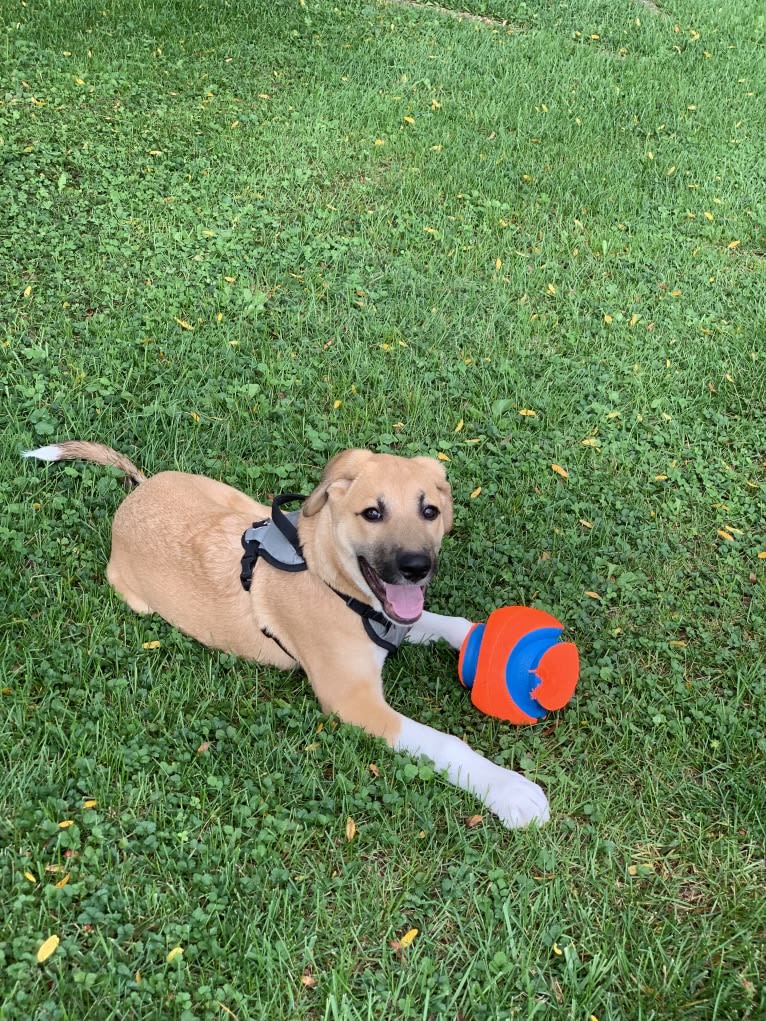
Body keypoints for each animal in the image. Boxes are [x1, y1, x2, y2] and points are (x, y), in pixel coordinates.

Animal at [25, 441, 551, 829]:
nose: (416, 567)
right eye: (372, 513)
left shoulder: (397, 616)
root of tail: (138, 491)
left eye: (430, 511)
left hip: (238, 500)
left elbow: (454, 625)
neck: (329, 575)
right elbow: (447, 743)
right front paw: (510, 792)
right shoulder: (353, 702)